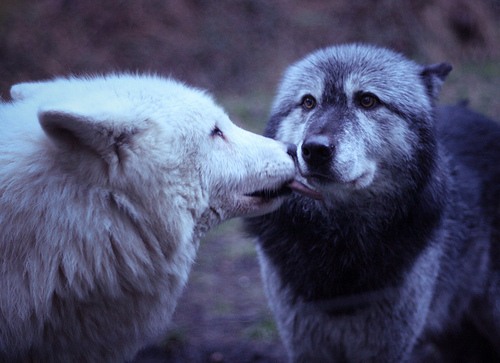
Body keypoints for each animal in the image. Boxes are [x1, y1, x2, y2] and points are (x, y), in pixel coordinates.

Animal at [246, 45, 500, 363]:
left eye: (367, 100)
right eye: (308, 102)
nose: (314, 149)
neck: (340, 247)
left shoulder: (388, 347)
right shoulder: (305, 344)